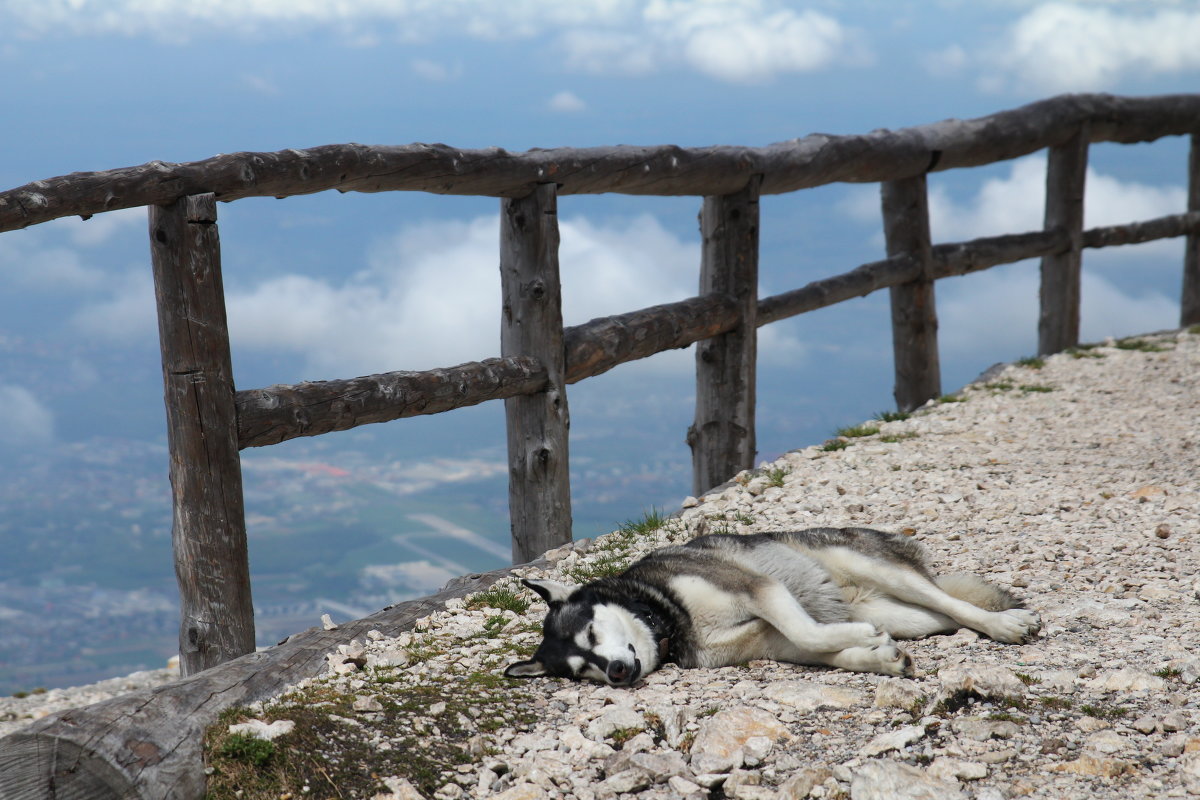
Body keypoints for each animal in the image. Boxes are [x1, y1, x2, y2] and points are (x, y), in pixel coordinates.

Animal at [501, 527, 1036, 686]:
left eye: (592, 635)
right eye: (582, 672)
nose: (614, 673)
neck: (667, 614)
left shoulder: (759, 588)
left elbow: (809, 631)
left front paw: (861, 641)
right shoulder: (766, 639)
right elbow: (820, 648)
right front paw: (877, 656)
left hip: (877, 567)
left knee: (952, 601)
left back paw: (1006, 624)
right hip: (905, 616)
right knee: (940, 617)